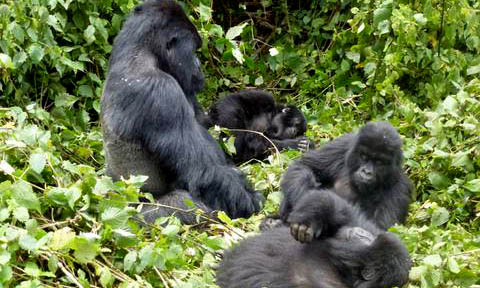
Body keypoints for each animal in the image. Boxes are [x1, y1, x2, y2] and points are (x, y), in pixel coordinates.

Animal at [101, 0, 262, 224]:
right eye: (193, 51)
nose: (198, 65)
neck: (140, 52)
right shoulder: (161, 91)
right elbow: (204, 171)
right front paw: (250, 200)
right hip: (134, 219)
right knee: (189, 205)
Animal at [278, 121, 412, 230]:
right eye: (364, 156)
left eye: (379, 162)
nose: (366, 172)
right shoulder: (343, 145)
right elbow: (304, 165)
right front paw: (306, 198)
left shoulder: (399, 189)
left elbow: (379, 229)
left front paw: (319, 205)